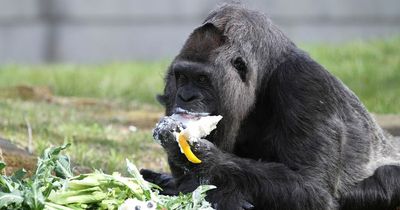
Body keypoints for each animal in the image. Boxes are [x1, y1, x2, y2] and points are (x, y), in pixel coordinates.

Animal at [141, 3, 400, 210]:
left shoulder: (304, 82)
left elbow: (312, 187)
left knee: (388, 176)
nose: (185, 96)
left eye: (203, 79)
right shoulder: (170, 81)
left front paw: (204, 158)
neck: (266, 73)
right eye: (183, 77)